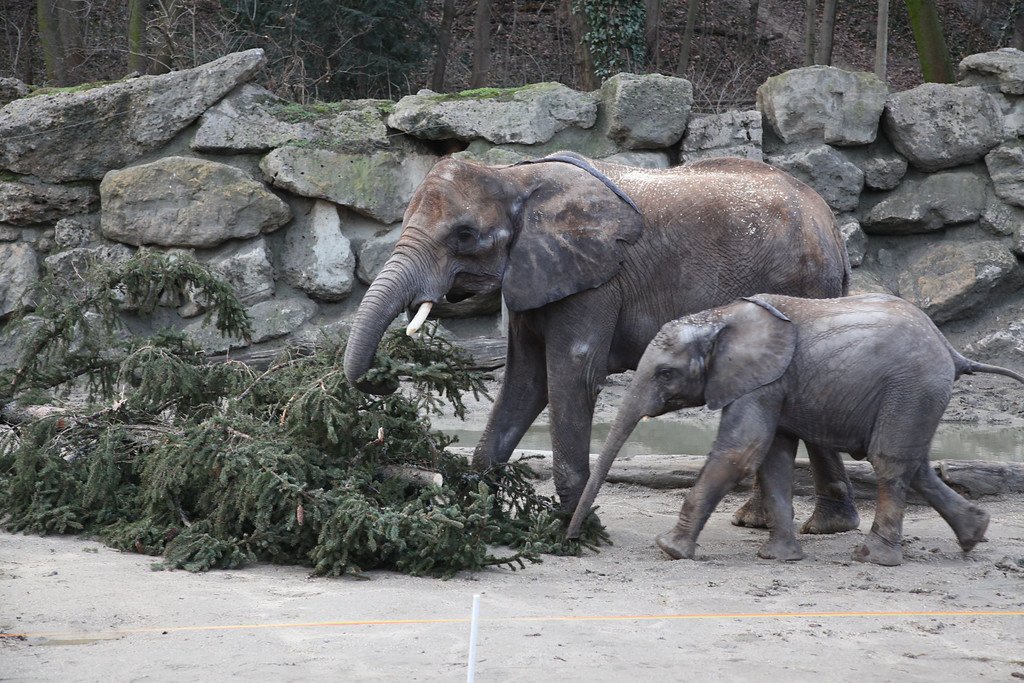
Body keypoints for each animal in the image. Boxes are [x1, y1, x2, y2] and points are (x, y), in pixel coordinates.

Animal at [342, 151, 859, 528]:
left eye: (465, 235)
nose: (388, 379)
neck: (513, 176)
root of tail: (832, 226)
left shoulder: (597, 280)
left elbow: (571, 375)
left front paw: (571, 525)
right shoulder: (534, 276)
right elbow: (525, 382)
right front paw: (472, 509)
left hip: (802, 286)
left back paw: (819, 525)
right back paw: (778, 523)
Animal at [566, 293, 1024, 566]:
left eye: (665, 373)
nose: (570, 541)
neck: (721, 316)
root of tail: (951, 348)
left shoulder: (761, 382)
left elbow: (741, 453)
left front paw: (670, 550)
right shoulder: (773, 385)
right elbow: (772, 460)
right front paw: (778, 558)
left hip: (911, 388)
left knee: (890, 462)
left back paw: (870, 557)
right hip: (917, 394)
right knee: (916, 465)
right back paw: (973, 536)